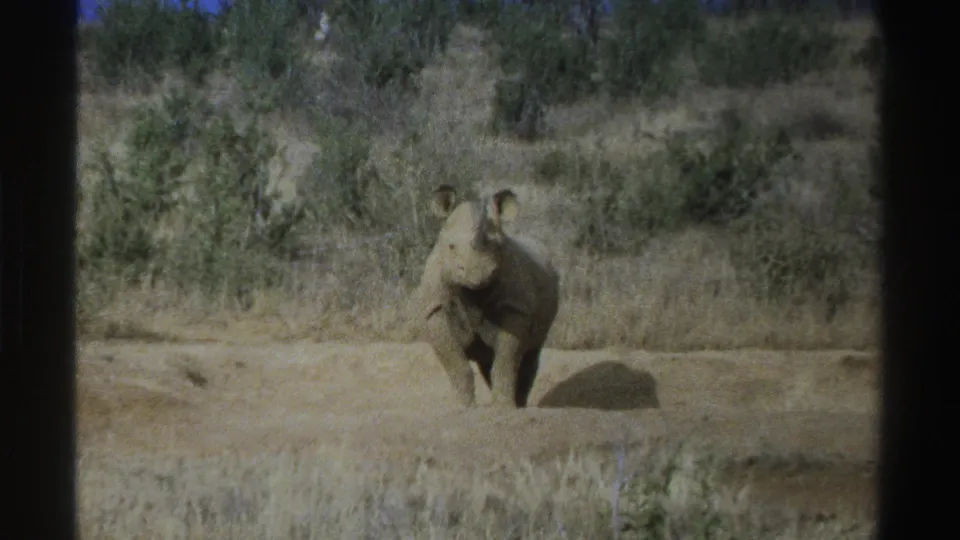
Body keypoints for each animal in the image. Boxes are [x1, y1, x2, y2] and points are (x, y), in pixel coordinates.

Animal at [410, 185, 560, 408]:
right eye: (451, 247)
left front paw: (504, 407)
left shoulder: (515, 307)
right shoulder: (434, 308)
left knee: (530, 354)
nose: (476, 273)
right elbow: (455, 363)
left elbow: (506, 362)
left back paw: (520, 405)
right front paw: (464, 408)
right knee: (487, 361)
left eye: (497, 246)